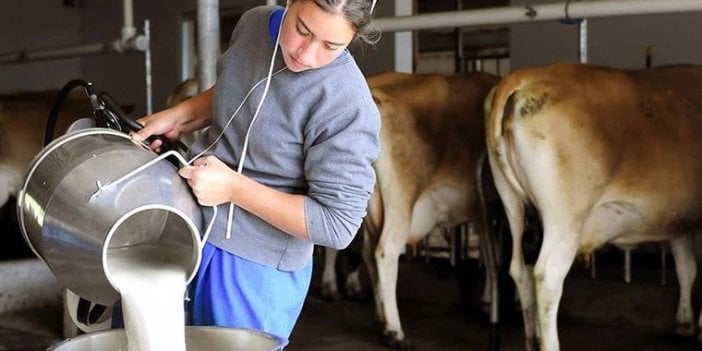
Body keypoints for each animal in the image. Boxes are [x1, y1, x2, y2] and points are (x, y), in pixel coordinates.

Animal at [486, 62, 702, 350]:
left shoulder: (677, 222)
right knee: (547, 276)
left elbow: (686, 267)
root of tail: (522, 77)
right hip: (565, 218)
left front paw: (685, 323)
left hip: (512, 204)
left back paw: (532, 340)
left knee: (520, 270)